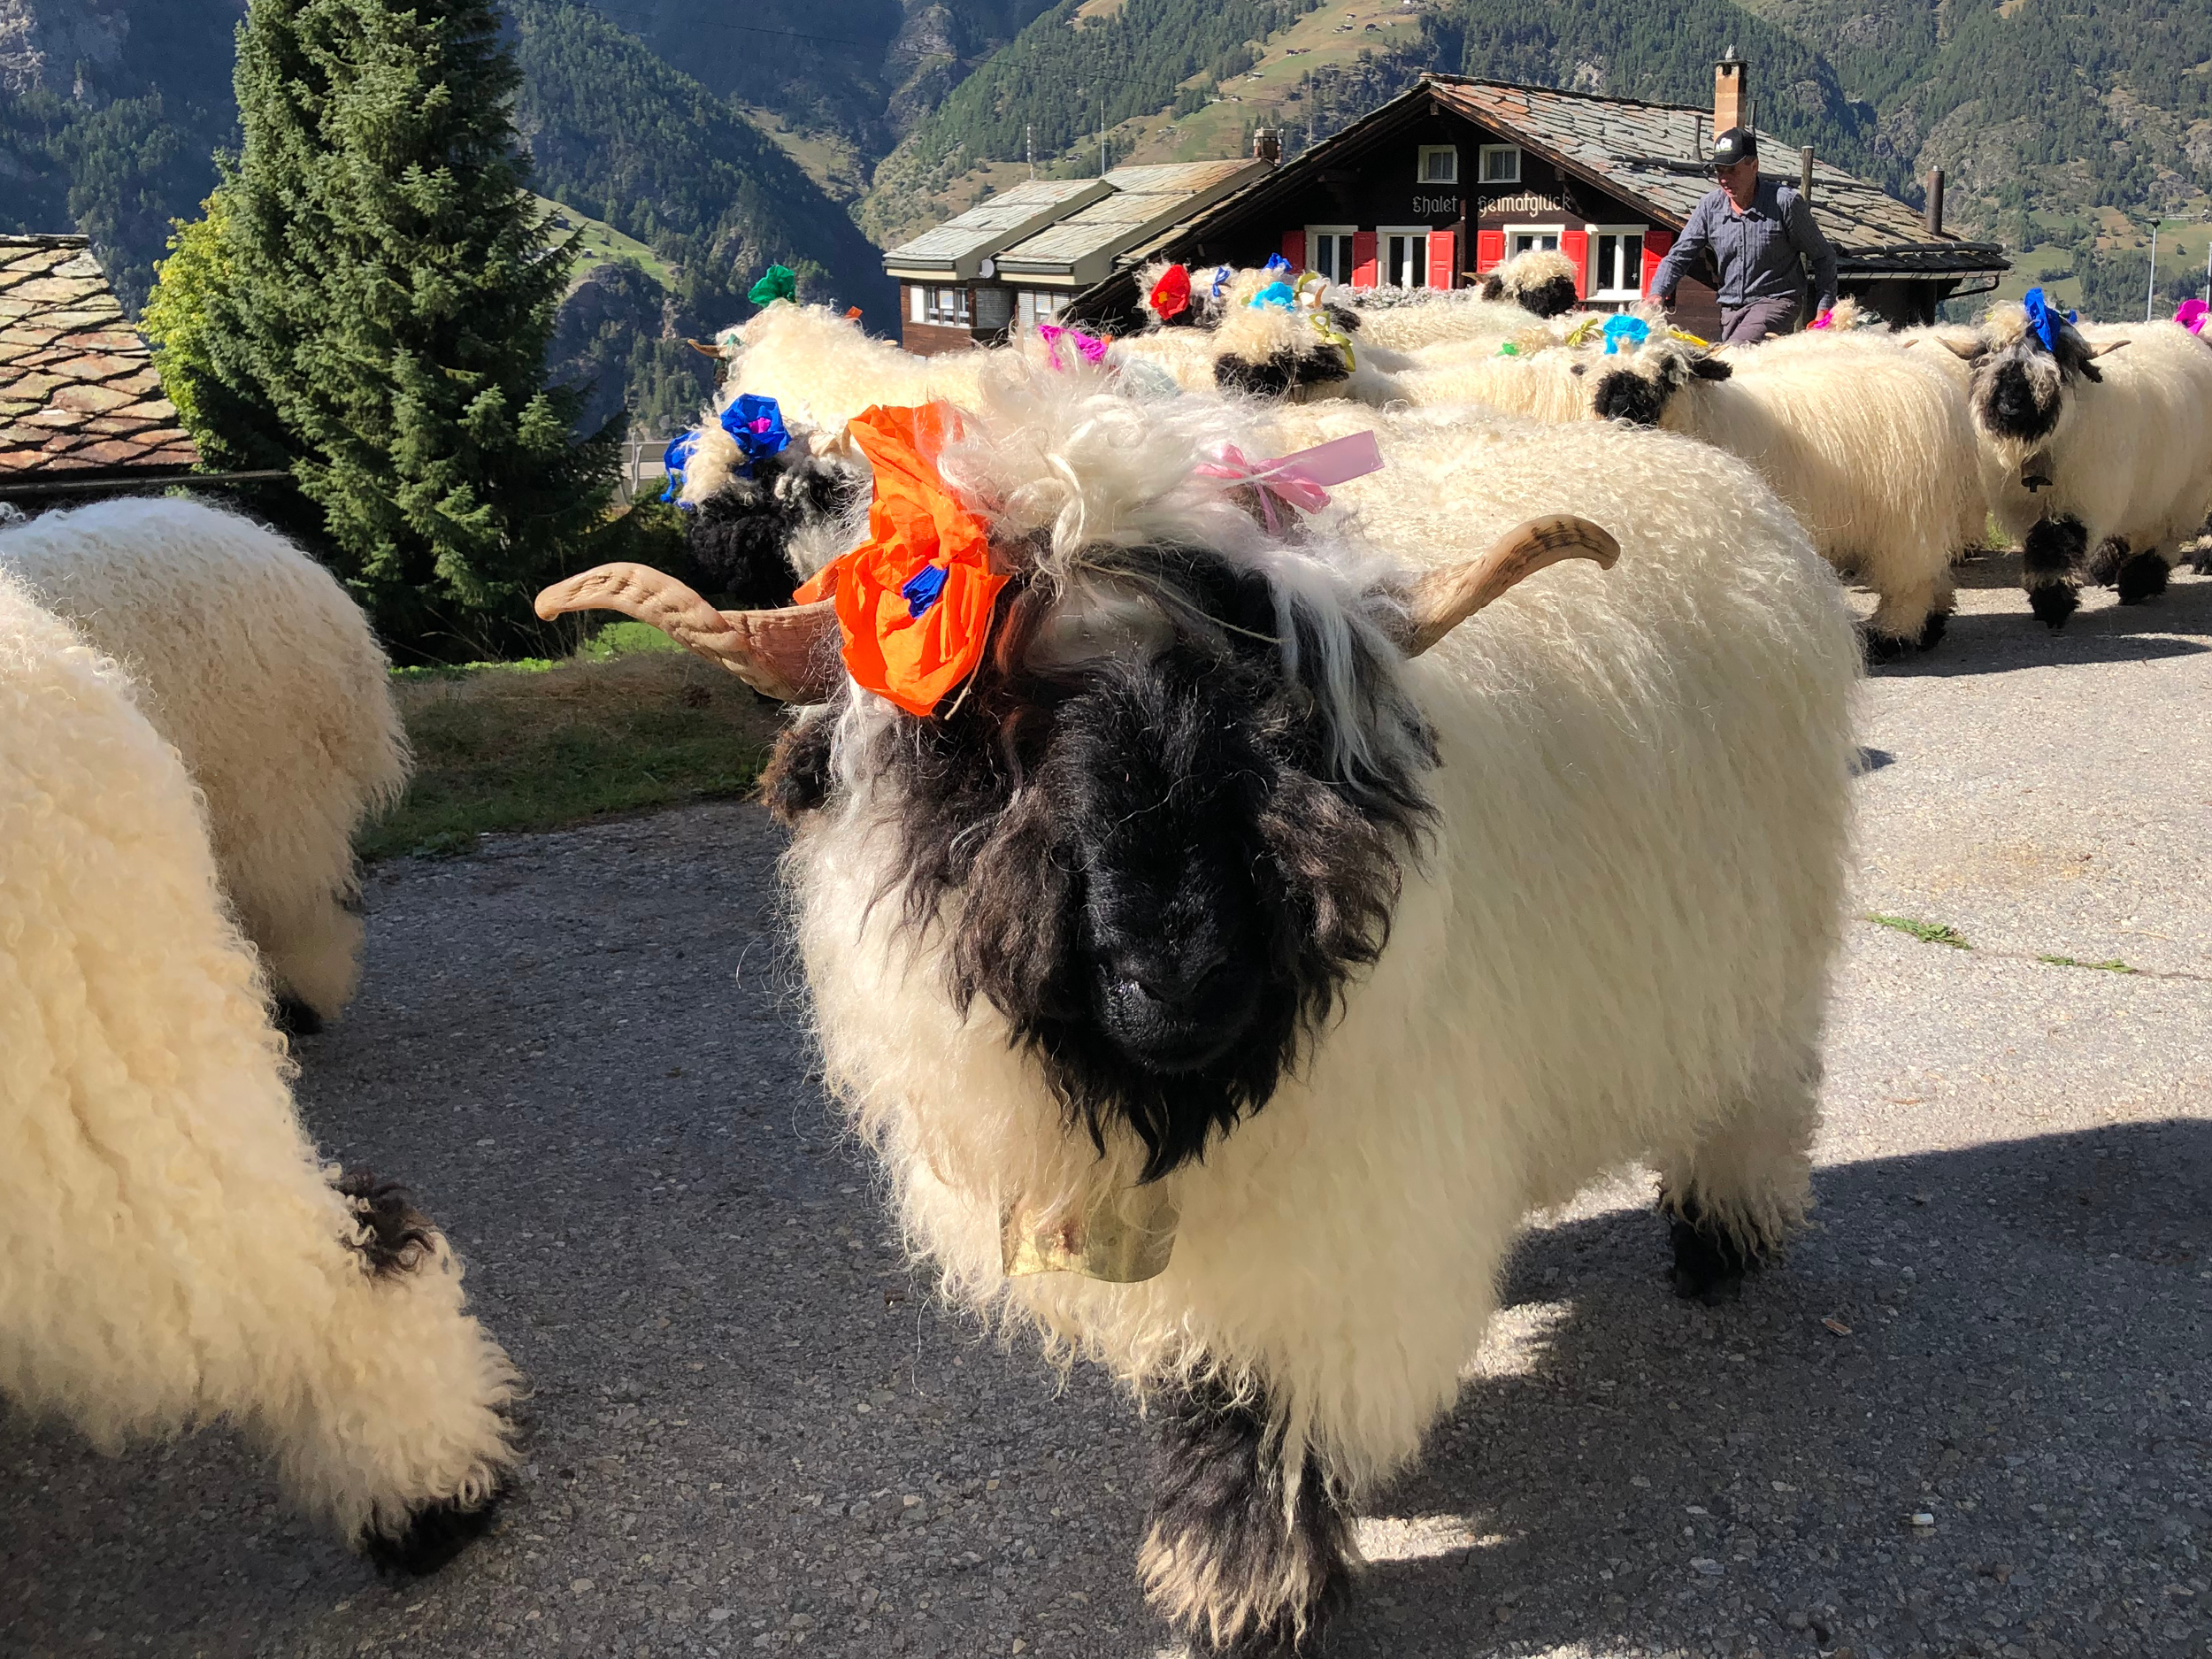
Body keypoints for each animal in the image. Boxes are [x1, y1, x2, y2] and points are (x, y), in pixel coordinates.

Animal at [536, 356, 1860, 1653]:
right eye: (978, 731)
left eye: (1269, 714)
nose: (1180, 978)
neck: (1167, 1098)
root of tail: (1716, 476)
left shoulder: (1330, 1198)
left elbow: (1259, 1403)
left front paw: (1240, 1587)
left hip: (1767, 946)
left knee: (1761, 1084)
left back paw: (1721, 1237)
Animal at [1926, 301, 2212, 626]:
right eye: (1990, 356)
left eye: (2054, 358)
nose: (2010, 406)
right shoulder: (2033, 506)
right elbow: (2041, 549)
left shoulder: (2077, 500)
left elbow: (2055, 546)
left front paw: (2054, 604)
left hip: (2182, 488)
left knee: (2160, 536)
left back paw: (2139, 582)